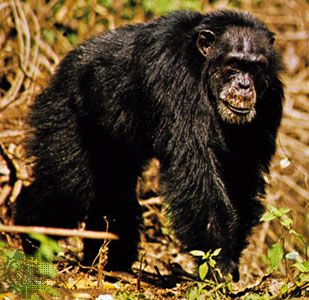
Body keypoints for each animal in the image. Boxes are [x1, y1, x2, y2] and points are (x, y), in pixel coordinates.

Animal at [15, 9, 284, 282]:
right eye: (234, 64)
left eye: (256, 67)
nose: (244, 85)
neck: (203, 67)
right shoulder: (174, 76)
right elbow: (194, 173)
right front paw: (219, 265)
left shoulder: (270, 98)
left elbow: (241, 175)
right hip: (63, 109)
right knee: (68, 187)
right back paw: (32, 241)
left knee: (114, 190)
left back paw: (108, 263)